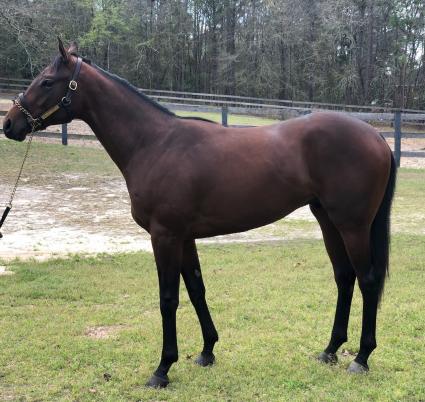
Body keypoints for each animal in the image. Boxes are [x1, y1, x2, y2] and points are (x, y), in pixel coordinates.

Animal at [2, 40, 394, 386]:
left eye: (46, 81)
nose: (10, 124)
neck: (154, 144)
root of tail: (377, 137)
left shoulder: (165, 236)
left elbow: (168, 299)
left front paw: (162, 369)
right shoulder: (185, 237)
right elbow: (196, 289)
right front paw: (207, 351)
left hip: (353, 225)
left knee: (367, 280)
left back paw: (361, 357)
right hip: (328, 220)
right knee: (344, 277)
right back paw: (330, 350)